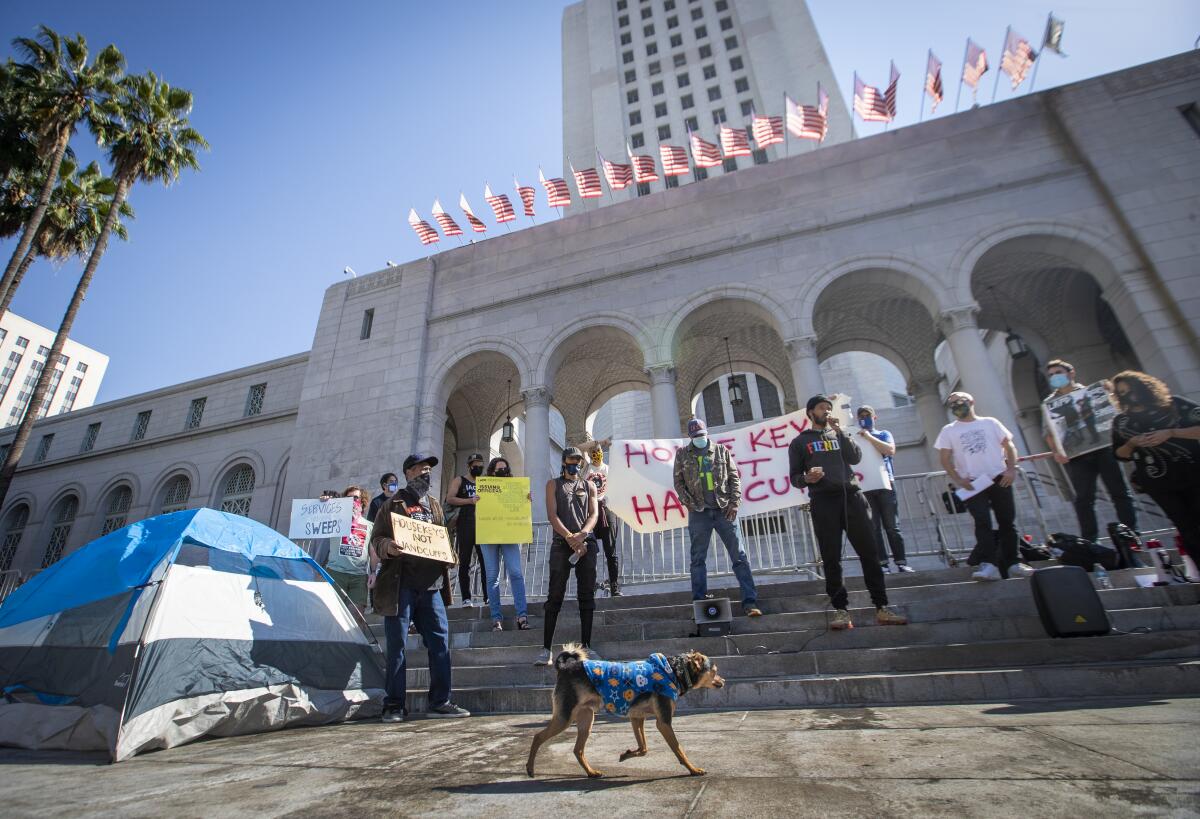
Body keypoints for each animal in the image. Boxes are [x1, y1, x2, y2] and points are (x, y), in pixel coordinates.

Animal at [523, 638, 720, 773]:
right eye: (714, 671)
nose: (723, 681)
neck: (673, 671)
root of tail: (564, 669)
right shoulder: (663, 722)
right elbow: (679, 749)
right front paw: (693, 769)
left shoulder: (636, 717)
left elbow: (644, 748)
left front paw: (626, 754)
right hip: (564, 717)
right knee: (538, 737)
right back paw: (530, 768)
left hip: (586, 718)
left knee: (577, 750)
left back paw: (592, 773)